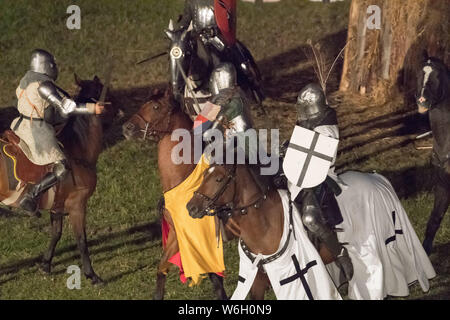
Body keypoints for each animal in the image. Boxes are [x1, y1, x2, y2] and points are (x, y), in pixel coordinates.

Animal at [0, 75, 118, 284]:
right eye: (106, 92)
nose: (120, 111)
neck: (77, 149)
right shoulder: (77, 205)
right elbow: (81, 240)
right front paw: (92, 275)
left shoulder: (58, 205)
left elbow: (56, 234)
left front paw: (45, 265)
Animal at [121, 90, 229, 300]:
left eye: (156, 107)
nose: (127, 127)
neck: (184, 181)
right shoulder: (175, 236)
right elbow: (161, 266)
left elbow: (215, 279)